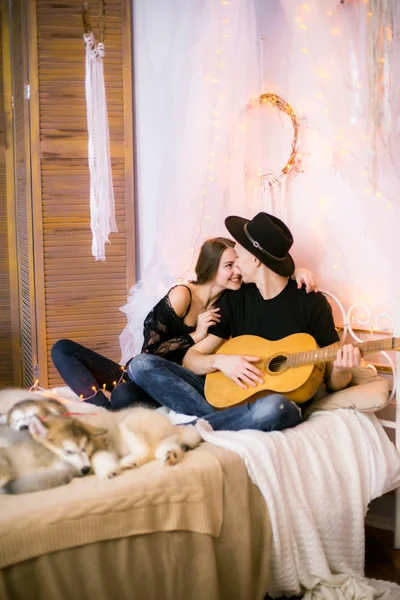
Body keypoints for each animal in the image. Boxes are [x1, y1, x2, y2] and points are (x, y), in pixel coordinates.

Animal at [0, 390, 202, 492]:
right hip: (163, 438)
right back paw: (171, 454)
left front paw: (107, 470)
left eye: (35, 416)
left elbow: (99, 457)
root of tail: (170, 426)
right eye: (16, 421)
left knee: (146, 450)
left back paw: (131, 460)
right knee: (166, 447)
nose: (23, 428)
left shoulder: (98, 445)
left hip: (129, 422)